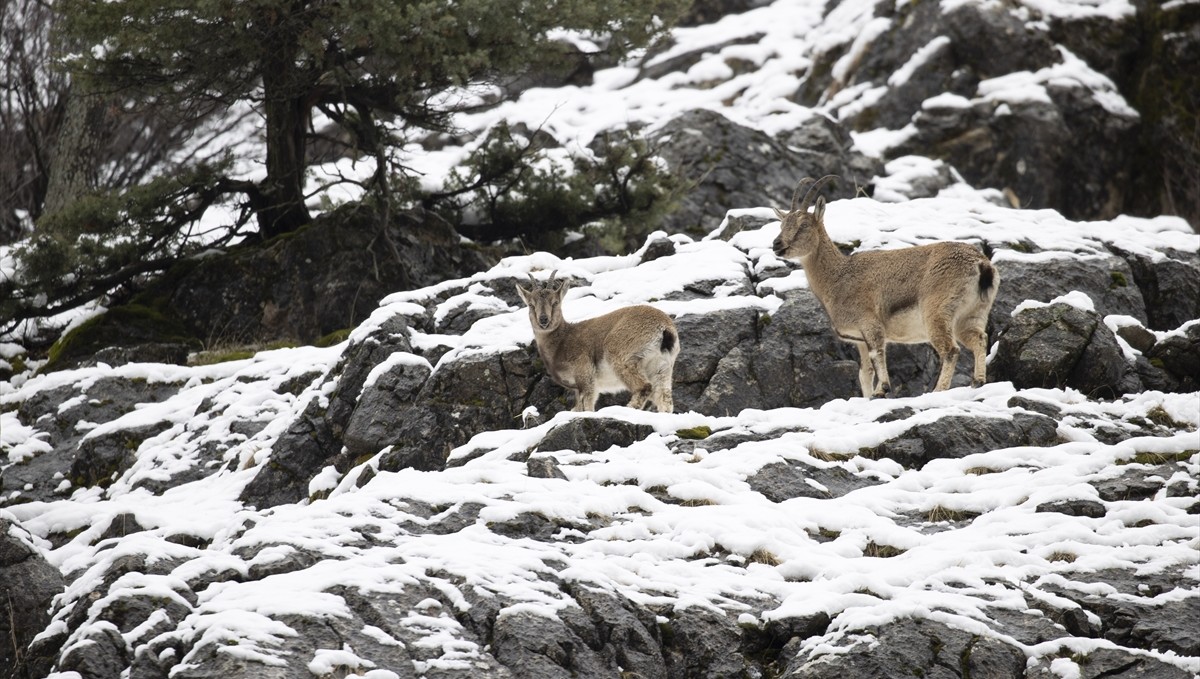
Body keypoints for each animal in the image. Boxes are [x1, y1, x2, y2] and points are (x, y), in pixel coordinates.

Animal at [516, 272, 681, 412]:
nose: (543, 320)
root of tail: (665, 328)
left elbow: (587, 406)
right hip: (662, 367)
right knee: (665, 399)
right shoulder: (580, 388)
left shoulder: (585, 376)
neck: (561, 342)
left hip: (621, 356)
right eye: (531, 304)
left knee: (644, 387)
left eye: (555, 302)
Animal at [772, 175, 998, 398]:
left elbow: (877, 355)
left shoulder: (870, 324)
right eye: (781, 225)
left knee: (951, 350)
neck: (837, 277)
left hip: (937, 312)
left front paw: (882, 389)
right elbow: (865, 373)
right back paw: (978, 381)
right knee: (980, 338)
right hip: (971, 315)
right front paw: (870, 395)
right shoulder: (859, 339)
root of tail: (981, 264)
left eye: (803, 225)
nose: (776, 244)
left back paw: (938, 389)